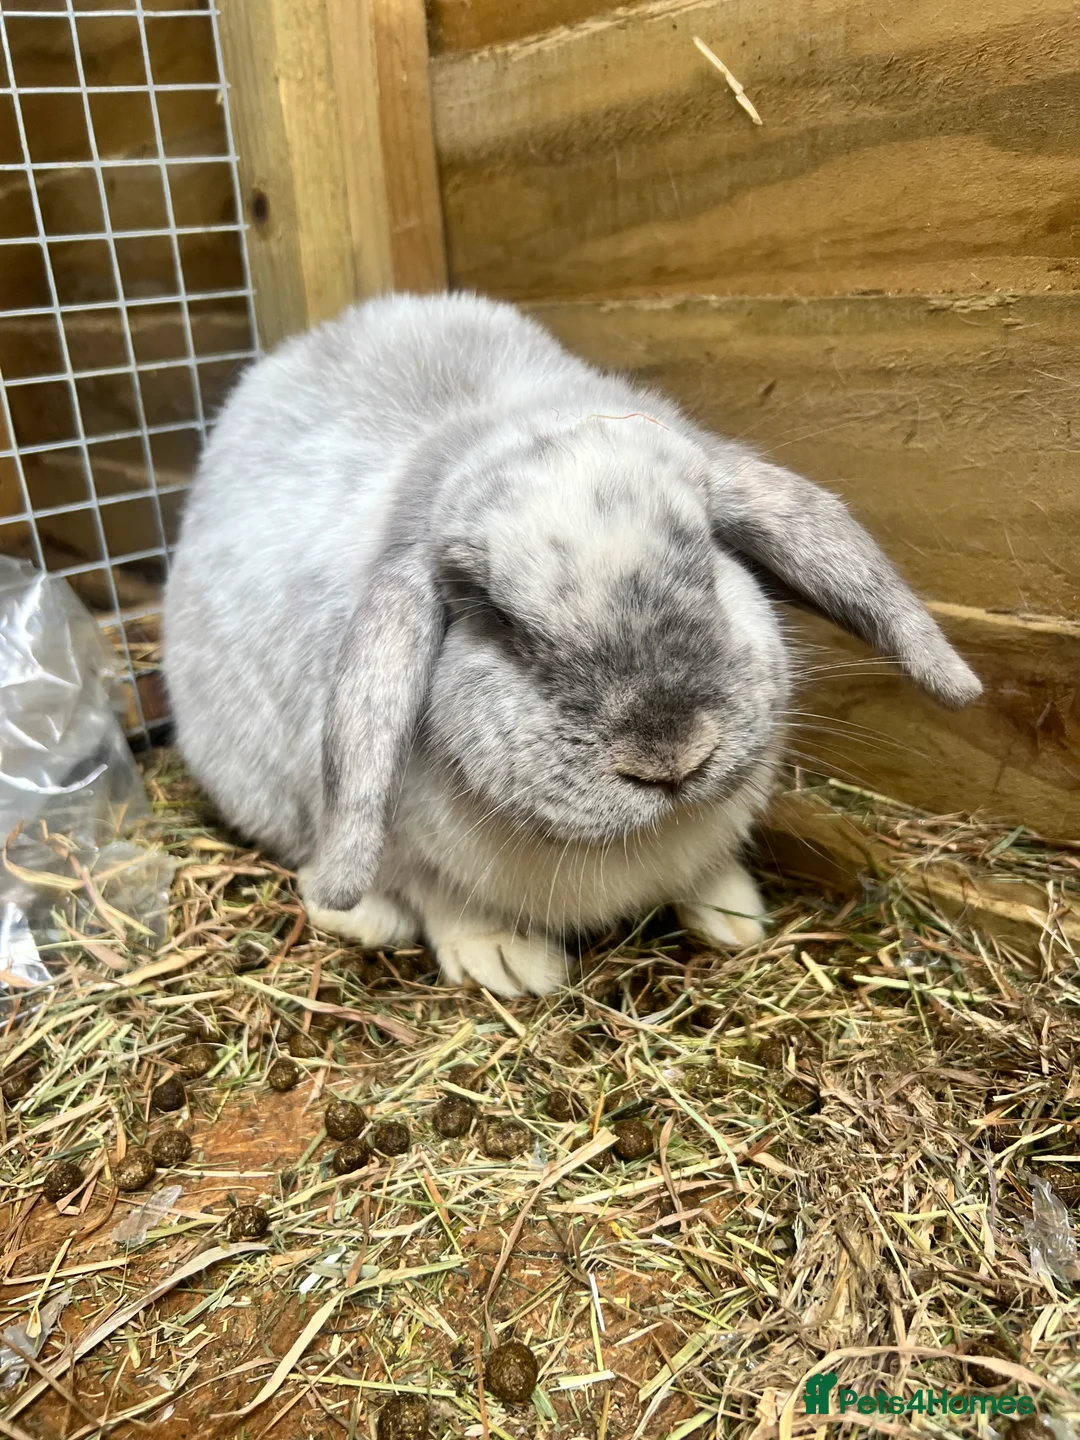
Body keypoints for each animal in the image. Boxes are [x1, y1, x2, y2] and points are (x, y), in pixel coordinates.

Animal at [163, 292, 981, 997]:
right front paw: (507, 960)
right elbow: (440, 897)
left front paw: (735, 916)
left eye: (707, 562)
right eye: (499, 621)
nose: (671, 756)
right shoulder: (406, 849)